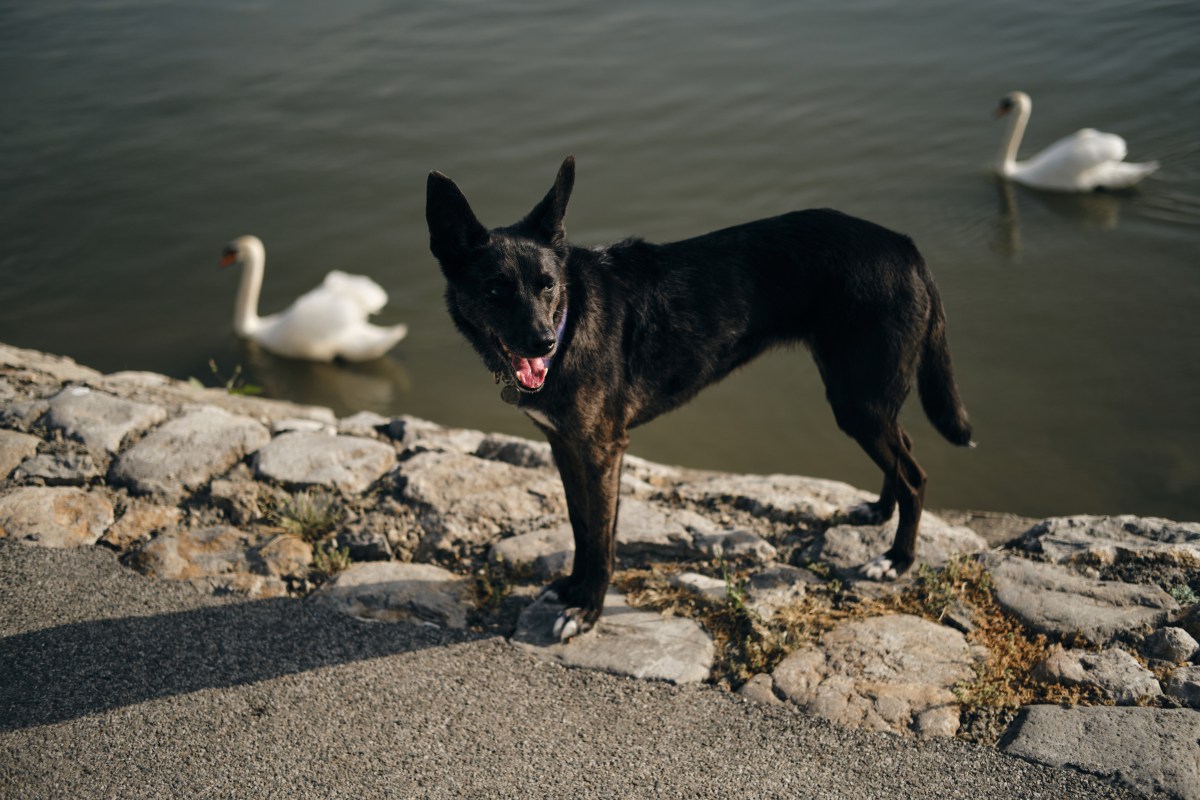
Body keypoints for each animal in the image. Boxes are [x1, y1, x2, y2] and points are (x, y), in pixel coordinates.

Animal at [427, 155, 969, 642]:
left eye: (548, 286)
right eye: (495, 290)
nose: (542, 344)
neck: (573, 317)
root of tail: (904, 247)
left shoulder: (603, 450)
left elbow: (601, 540)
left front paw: (587, 610)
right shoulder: (565, 446)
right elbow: (581, 528)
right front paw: (572, 590)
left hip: (857, 400)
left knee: (915, 476)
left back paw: (897, 560)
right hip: (865, 400)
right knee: (903, 452)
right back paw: (879, 511)